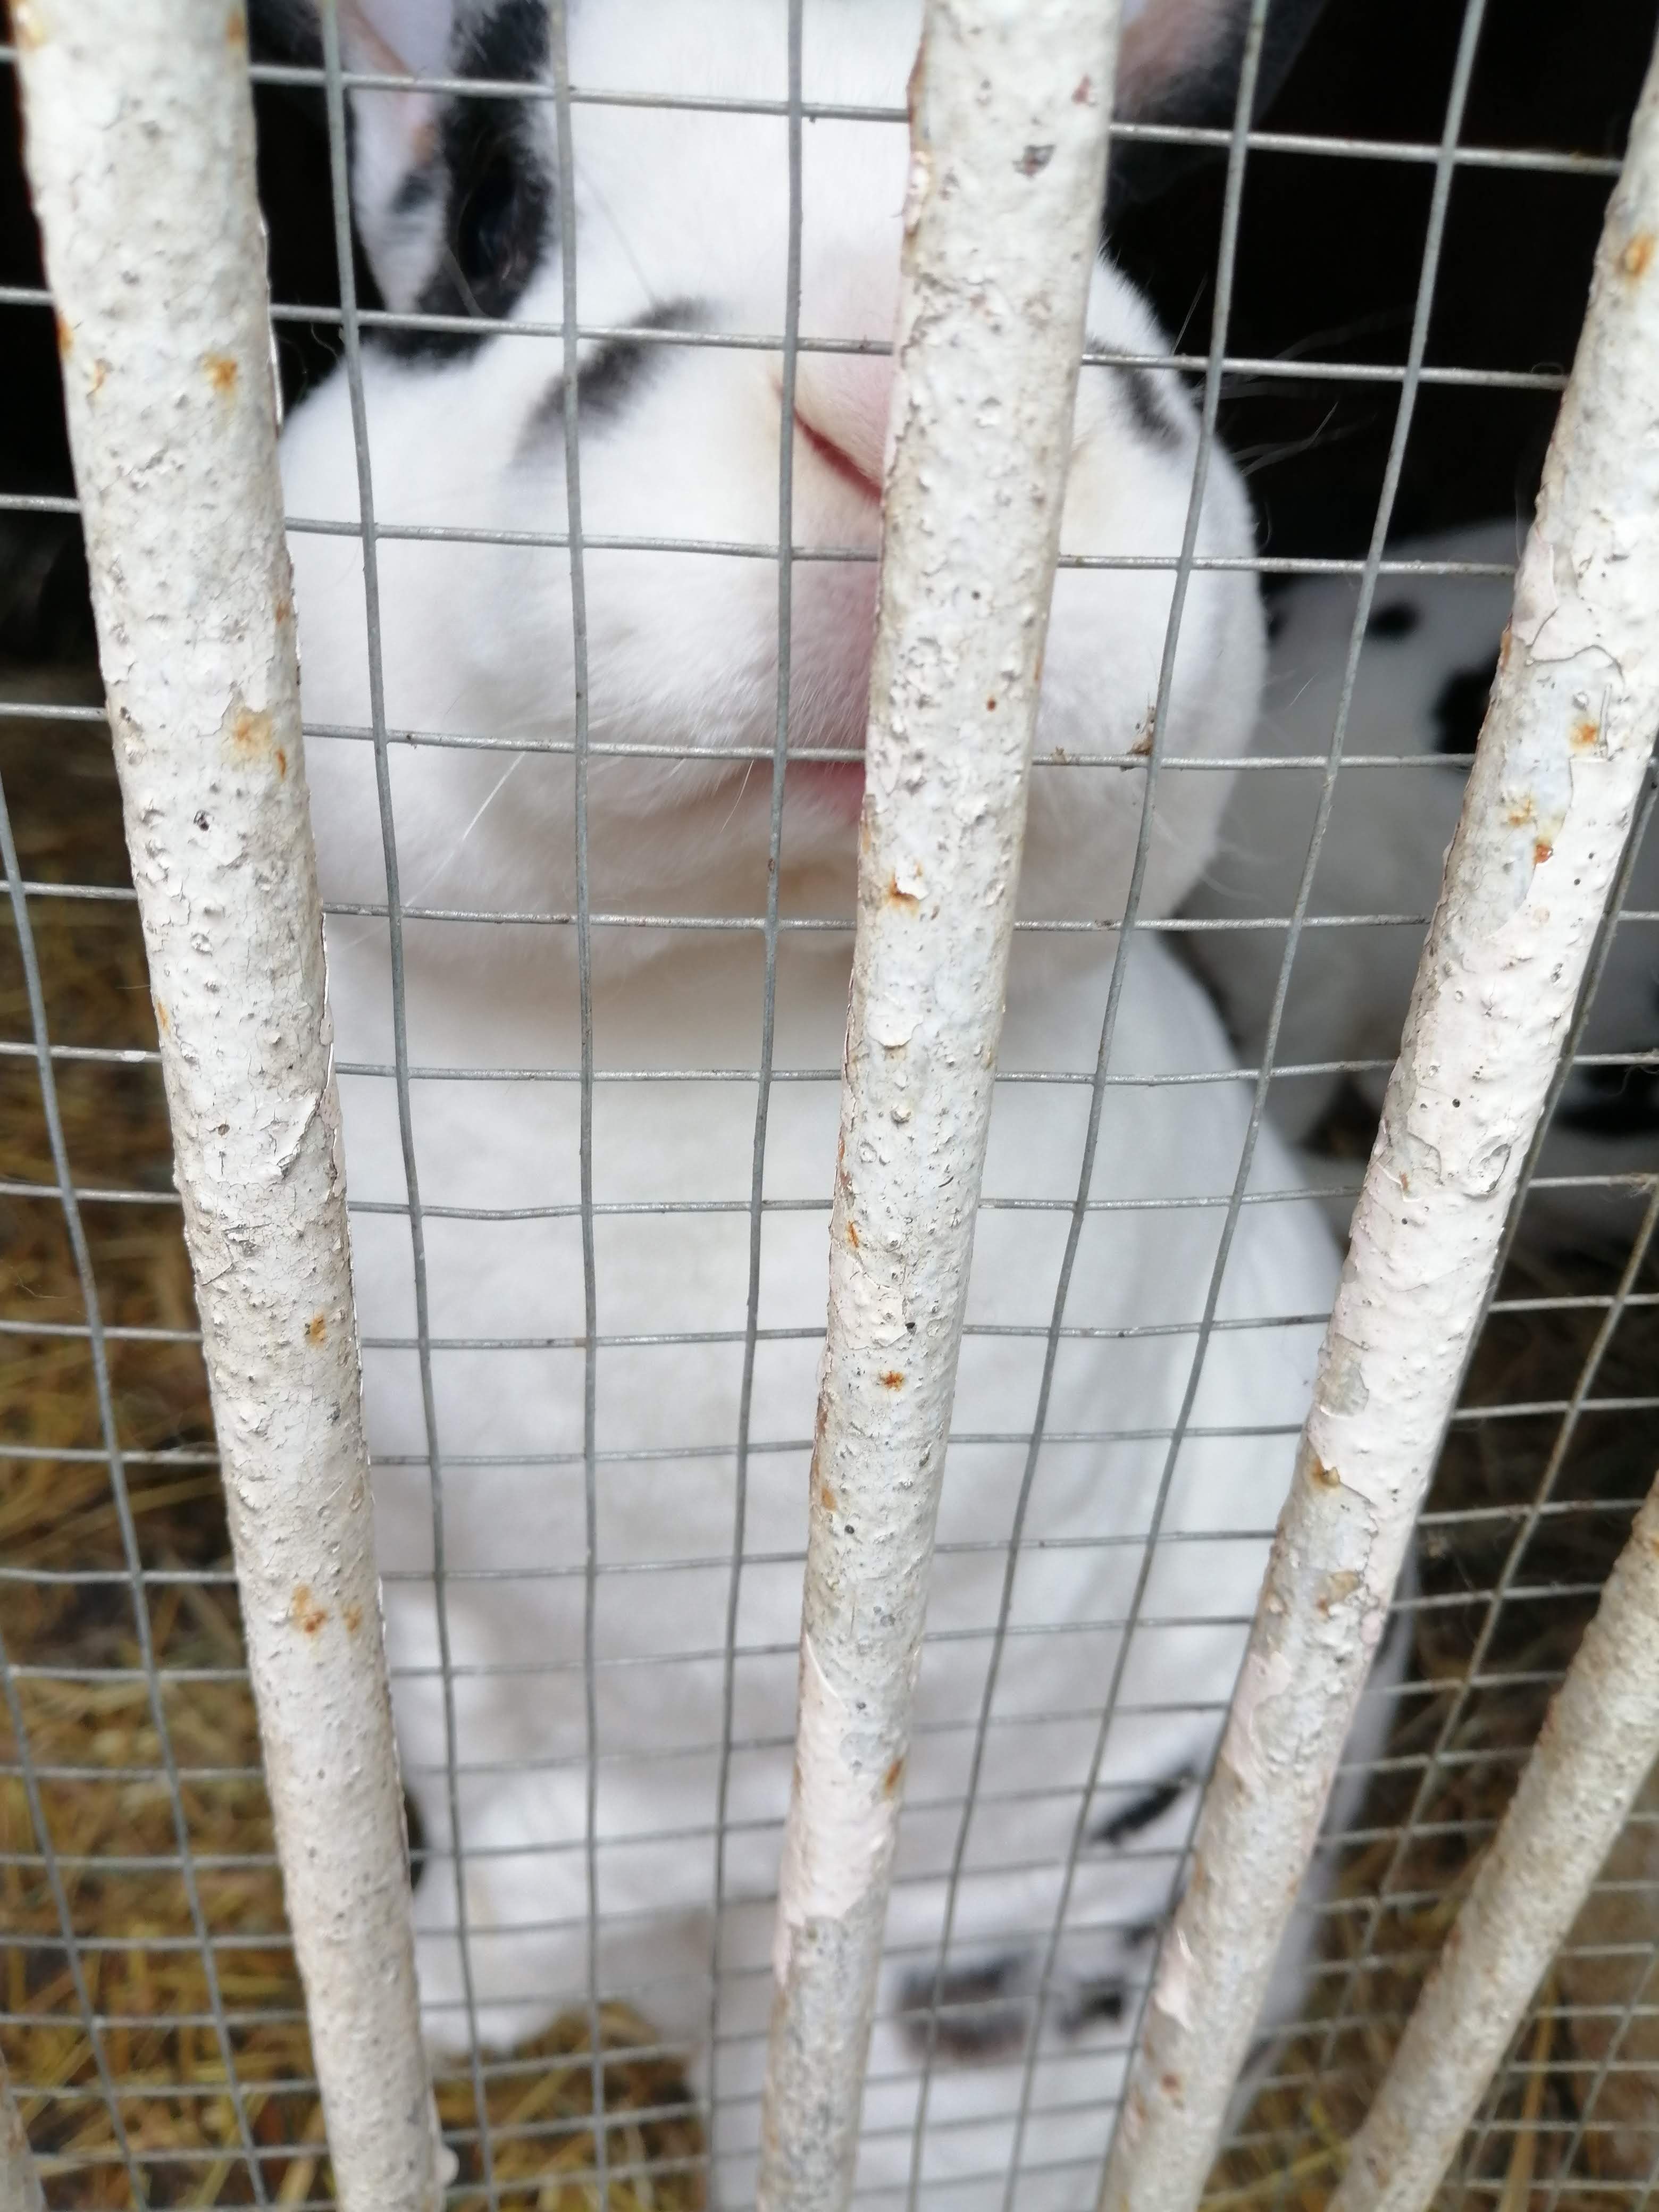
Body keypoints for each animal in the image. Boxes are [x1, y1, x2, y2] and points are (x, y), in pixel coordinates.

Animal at [275, 3, 1410, 2205]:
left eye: (1098, 259)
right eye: (492, 225)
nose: (894, 403)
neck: (721, 1005)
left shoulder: (810, 1689)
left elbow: (601, 1845)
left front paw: (437, 2002)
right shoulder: (412, 1568)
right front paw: (427, 2001)